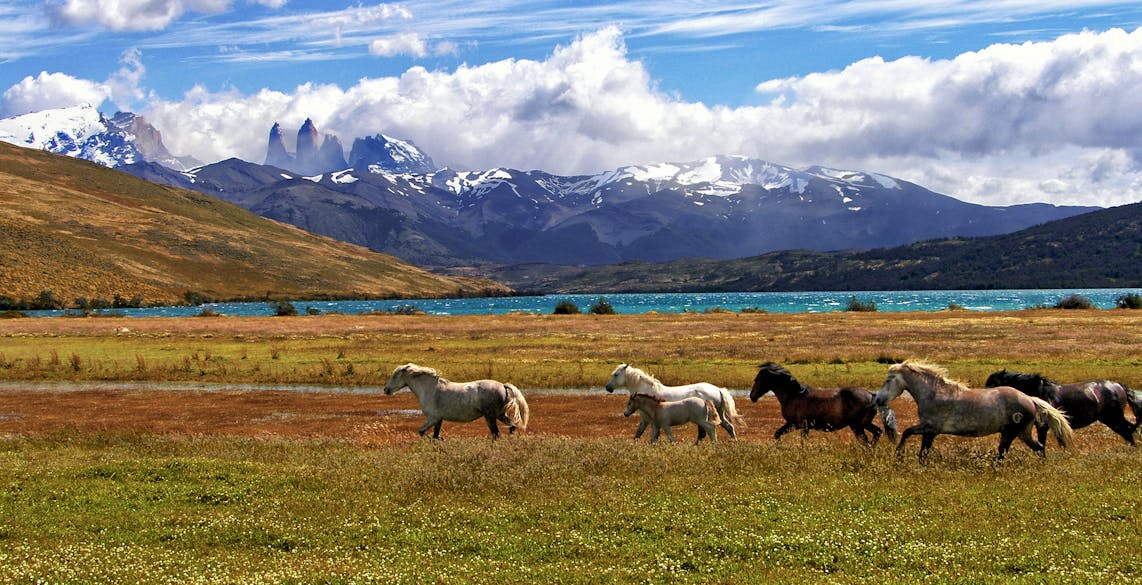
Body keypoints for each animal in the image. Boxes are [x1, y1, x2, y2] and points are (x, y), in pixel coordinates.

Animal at [381, 361, 527, 438]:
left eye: (395, 376)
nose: (386, 390)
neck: (430, 389)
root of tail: (503, 385)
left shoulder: (433, 418)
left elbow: (422, 432)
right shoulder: (438, 420)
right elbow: (434, 435)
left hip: (490, 416)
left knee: (496, 434)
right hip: (499, 415)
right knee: (512, 426)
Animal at [607, 363, 740, 436]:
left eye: (616, 374)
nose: (608, 387)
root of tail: (718, 389)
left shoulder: (645, 419)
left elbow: (639, 433)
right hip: (720, 415)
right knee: (729, 428)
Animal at [753, 361, 895, 443]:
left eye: (758, 379)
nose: (752, 396)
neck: (793, 396)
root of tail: (872, 395)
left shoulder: (801, 426)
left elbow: (802, 442)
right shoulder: (792, 424)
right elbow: (777, 434)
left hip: (858, 426)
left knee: (867, 441)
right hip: (864, 424)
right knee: (877, 433)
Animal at [986, 367, 1137, 445]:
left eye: (993, 384)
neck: (1039, 391)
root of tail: (1118, 386)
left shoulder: (1043, 426)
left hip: (1113, 418)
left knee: (1128, 431)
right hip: (1109, 419)